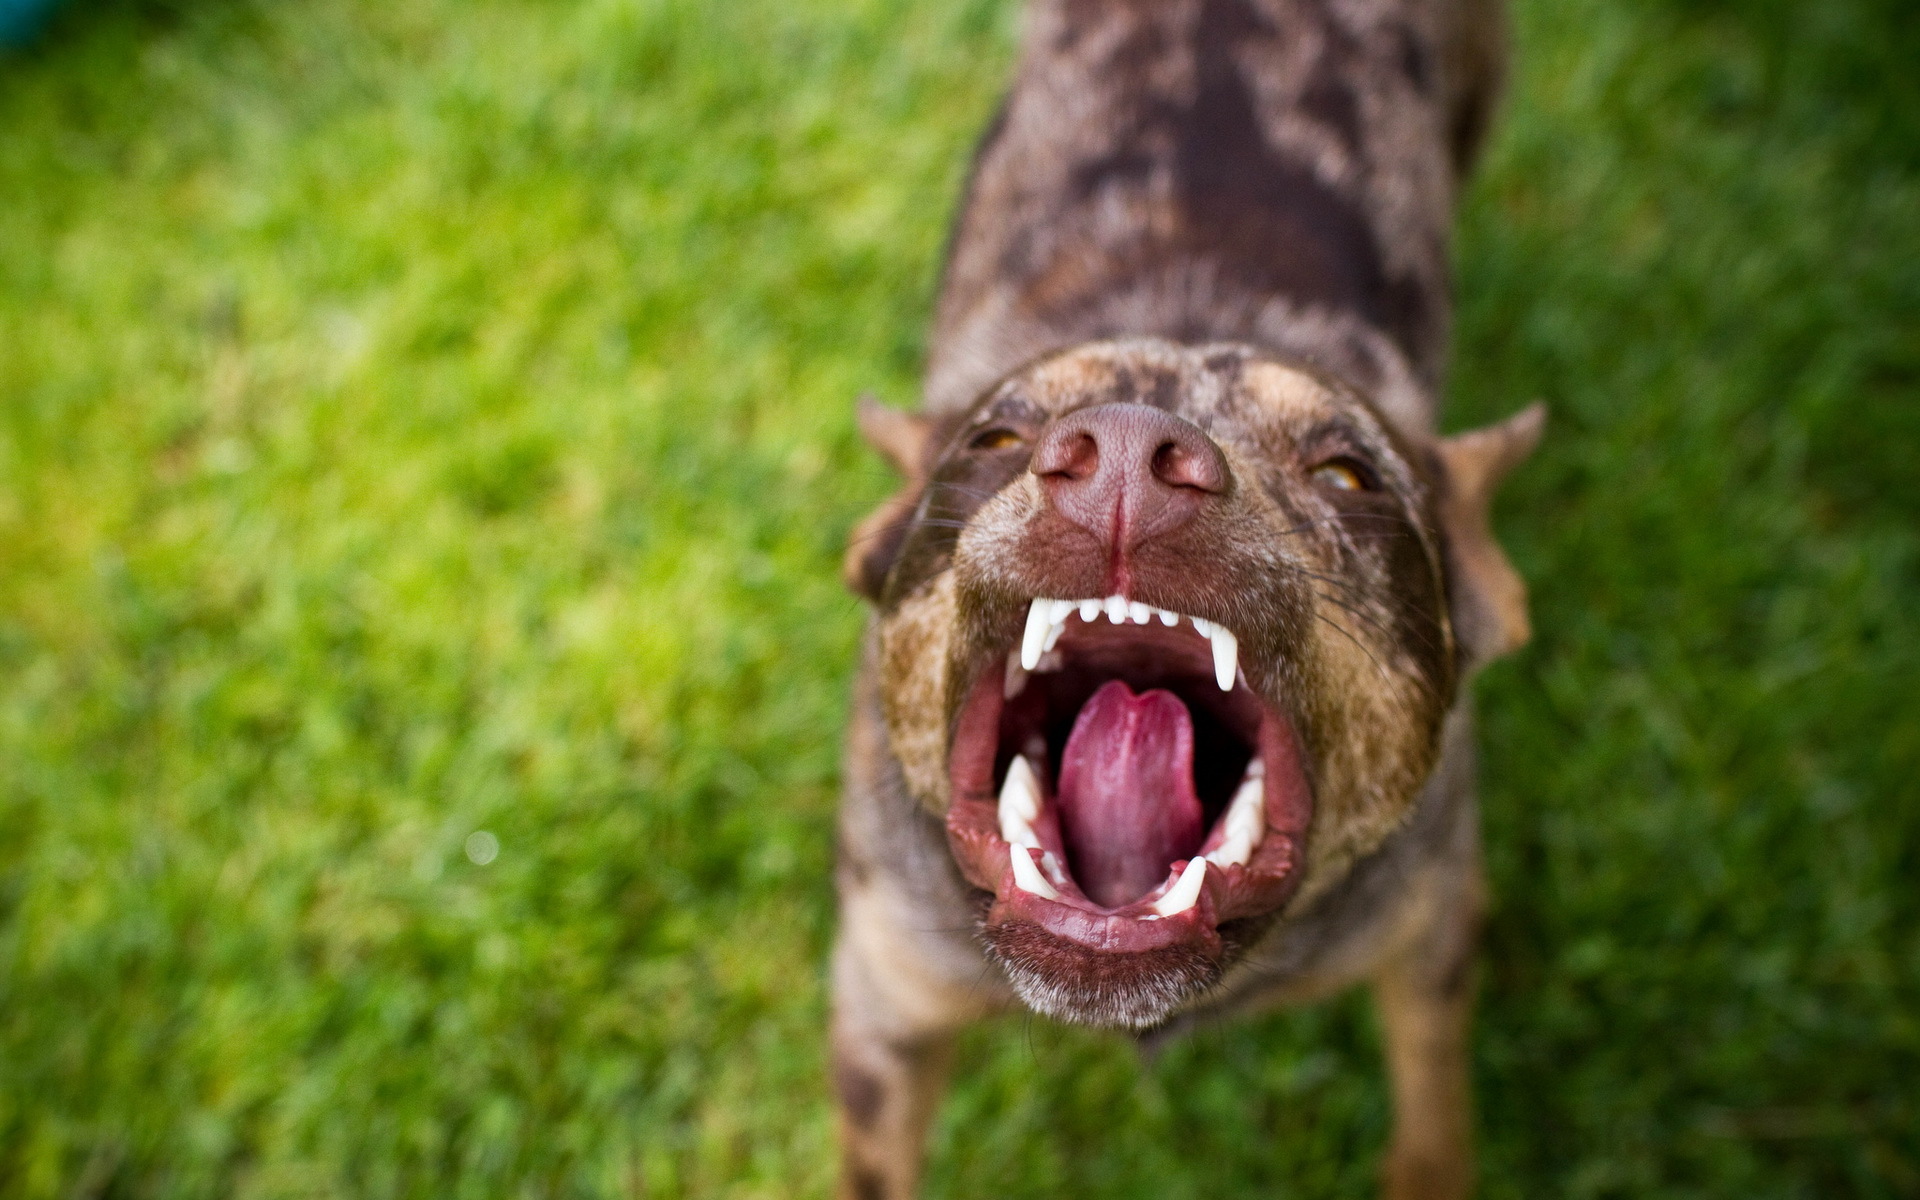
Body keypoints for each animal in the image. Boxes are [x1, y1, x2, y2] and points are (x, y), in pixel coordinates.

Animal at [833, 4, 1536, 1190]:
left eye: (1350, 475)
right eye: (993, 440)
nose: (1123, 454)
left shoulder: (1434, 927)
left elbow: (1435, 1124)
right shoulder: (883, 1000)